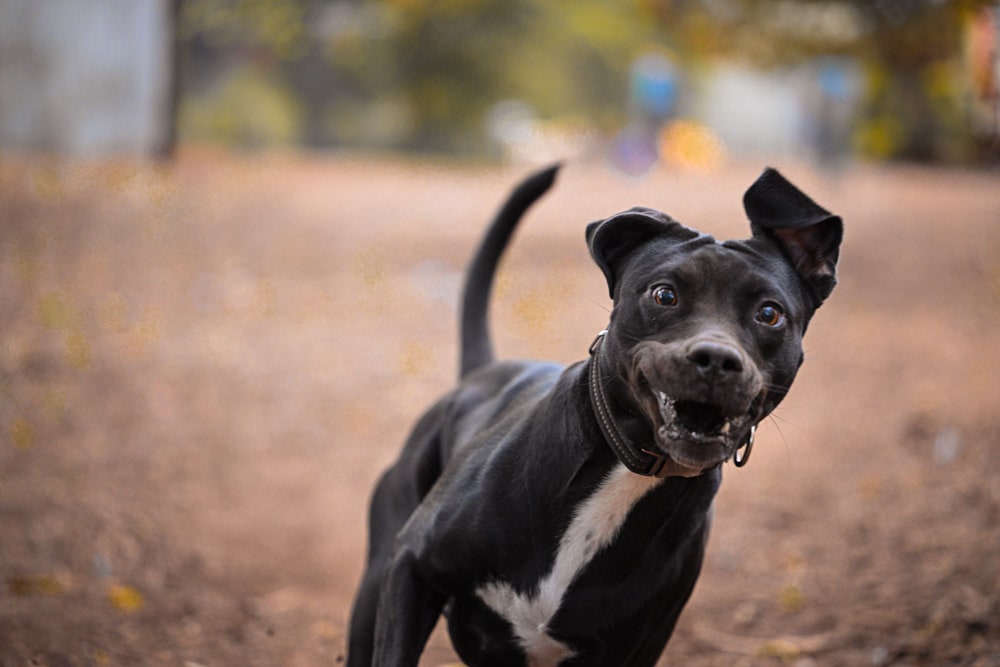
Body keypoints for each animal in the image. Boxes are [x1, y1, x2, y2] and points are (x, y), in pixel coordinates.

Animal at [348, 164, 840, 664]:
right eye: (665, 295)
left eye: (769, 313)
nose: (718, 359)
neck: (629, 470)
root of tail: (482, 372)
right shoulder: (411, 566)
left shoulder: (634, 648)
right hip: (372, 592)